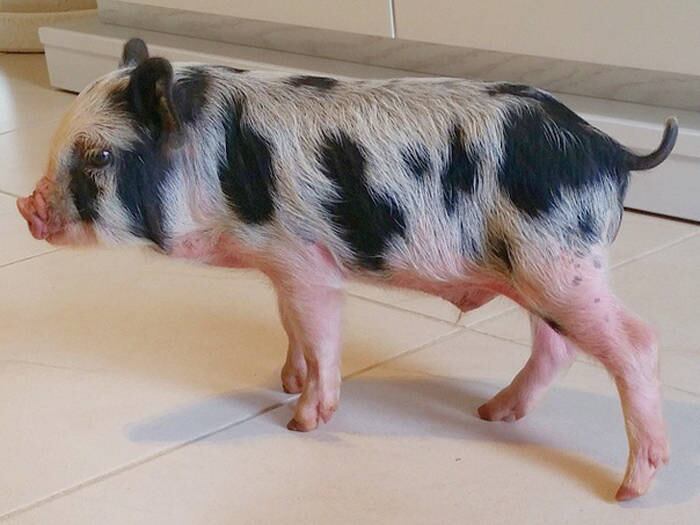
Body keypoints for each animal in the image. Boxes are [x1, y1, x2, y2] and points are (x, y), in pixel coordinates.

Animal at [17, 38, 678, 500]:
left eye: (100, 156)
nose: (26, 207)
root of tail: (610, 149)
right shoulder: (280, 264)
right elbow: (290, 323)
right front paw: (285, 380)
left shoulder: (303, 258)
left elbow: (319, 329)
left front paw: (301, 421)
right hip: (542, 271)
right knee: (556, 345)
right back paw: (491, 414)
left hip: (560, 264)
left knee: (639, 343)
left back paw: (628, 489)